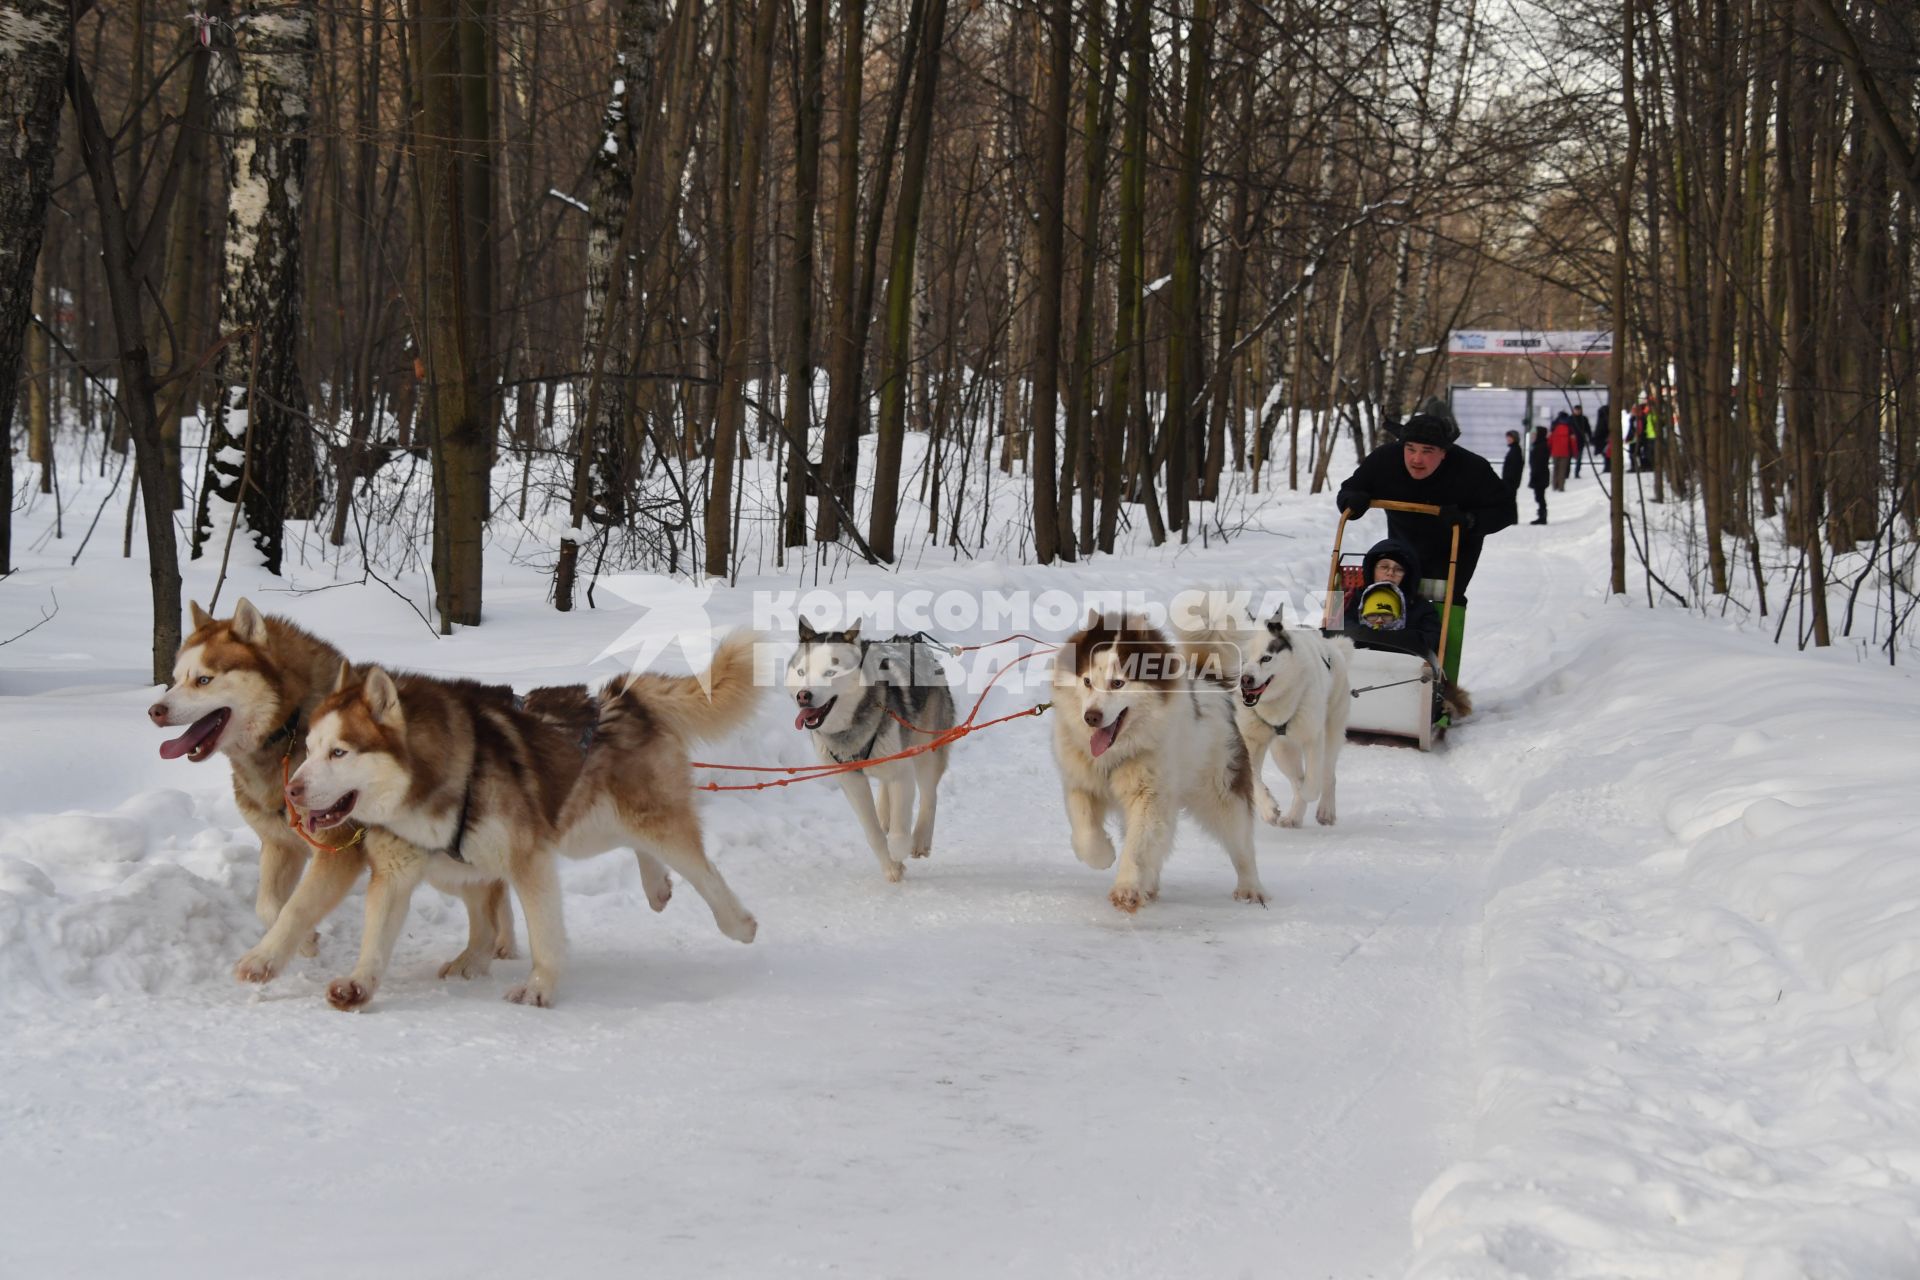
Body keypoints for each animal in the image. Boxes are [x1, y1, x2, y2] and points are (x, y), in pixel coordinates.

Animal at [1052, 614, 1259, 905]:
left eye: (1118, 683)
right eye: (1087, 681)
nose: (1091, 716)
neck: (1116, 752)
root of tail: (1209, 684)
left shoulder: (1149, 794)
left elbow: (1139, 843)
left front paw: (1126, 887)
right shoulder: (1081, 782)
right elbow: (1085, 832)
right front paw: (1103, 856)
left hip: (1221, 789)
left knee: (1240, 841)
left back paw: (1251, 889)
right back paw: (1148, 886)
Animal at [1175, 602, 1359, 832]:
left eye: (1266, 658)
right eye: (1242, 658)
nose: (1246, 679)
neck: (1274, 706)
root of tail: (1333, 647)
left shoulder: (1312, 737)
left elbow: (1311, 785)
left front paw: (1306, 794)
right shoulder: (1252, 739)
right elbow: (1256, 779)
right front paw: (1268, 808)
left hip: (1331, 733)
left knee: (1326, 775)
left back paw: (1325, 810)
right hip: (1283, 750)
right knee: (1296, 777)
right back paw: (1293, 816)